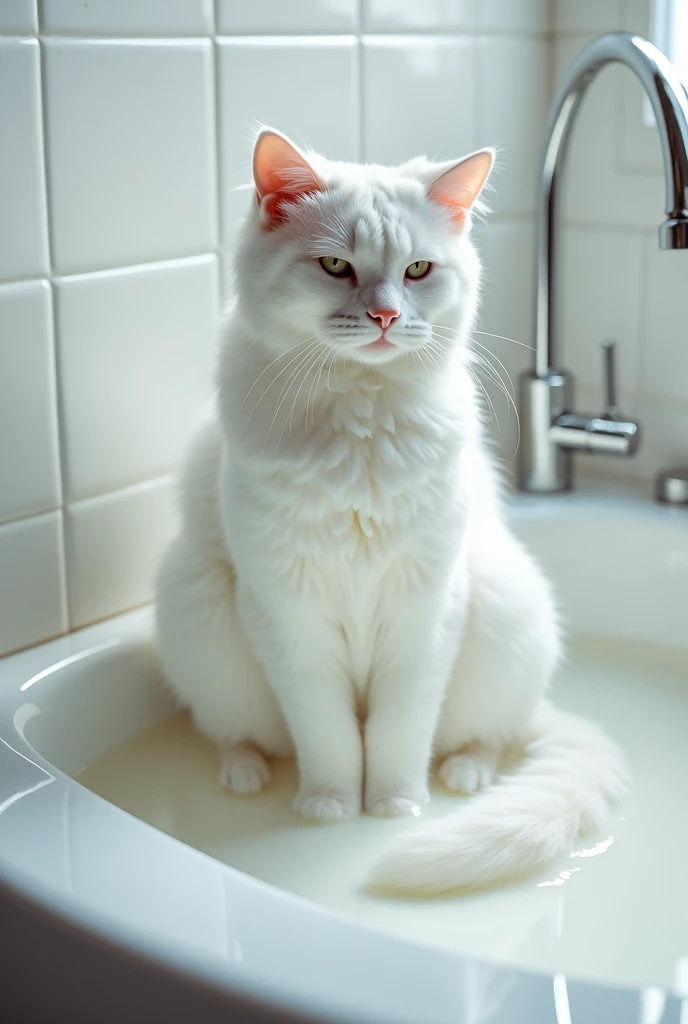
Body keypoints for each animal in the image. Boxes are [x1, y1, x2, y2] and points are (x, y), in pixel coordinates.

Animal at [157, 128, 630, 892]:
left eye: (417, 270)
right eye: (335, 265)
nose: (384, 316)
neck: (360, 419)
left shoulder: (425, 603)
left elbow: (399, 727)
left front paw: (393, 806)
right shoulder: (287, 608)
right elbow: (326, 731)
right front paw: (329, 805)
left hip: (504, 609)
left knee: (490, 737)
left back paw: (465, 774)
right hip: (196, 610)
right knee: (233, 730)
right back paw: (245, 772)